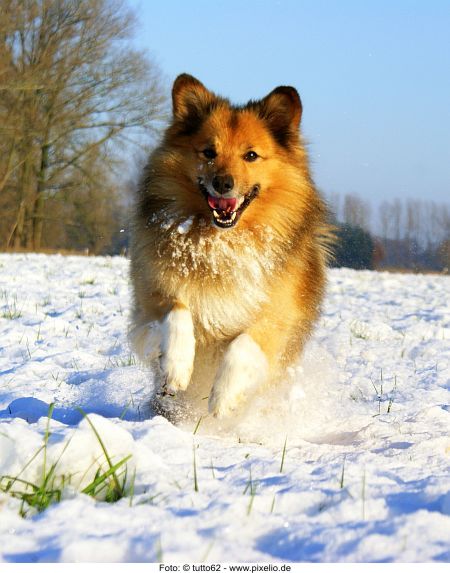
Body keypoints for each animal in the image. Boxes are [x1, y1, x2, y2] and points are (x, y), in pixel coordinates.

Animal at [129, 73, 330, 420]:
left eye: (250, 155)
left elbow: (245, 343)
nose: (222, 183)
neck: (222, 242)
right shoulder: (149, 294)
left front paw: (224, 397)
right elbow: (177, 311)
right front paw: (176, 367)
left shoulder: (279, 318)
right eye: (209, 152)